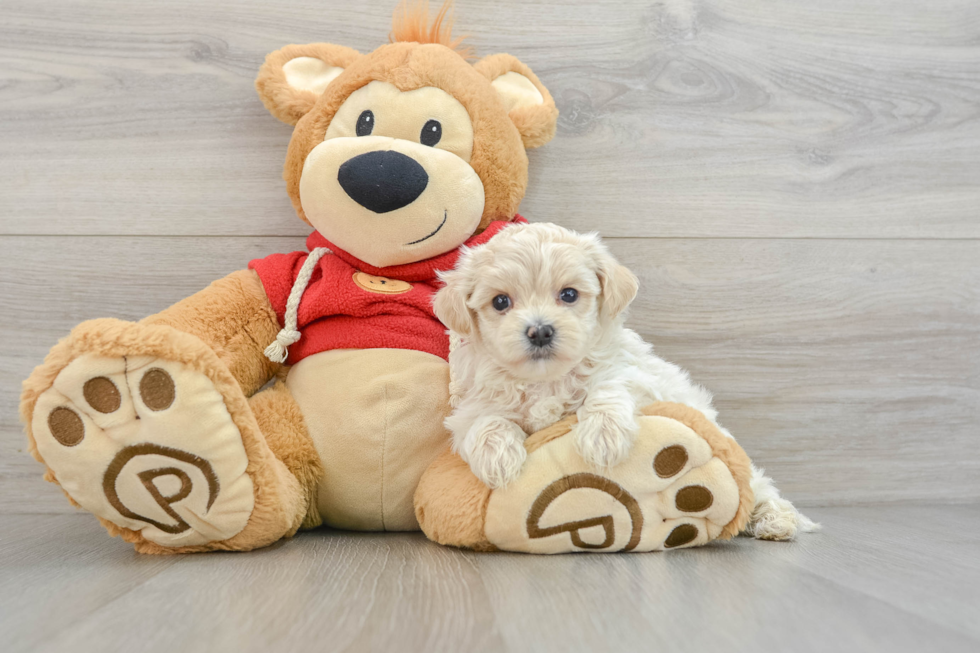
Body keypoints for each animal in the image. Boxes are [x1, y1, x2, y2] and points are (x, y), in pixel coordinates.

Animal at [436, 222, 820, 536]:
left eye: (569, 294)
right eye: (500, 301)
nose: (540, 331)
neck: (547, 380)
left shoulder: (635, 375)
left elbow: (607, 387)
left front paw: (603, 438)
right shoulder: (470, 407)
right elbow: (485, 422)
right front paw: (498, 459)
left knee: (759, 487)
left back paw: (774, 520)